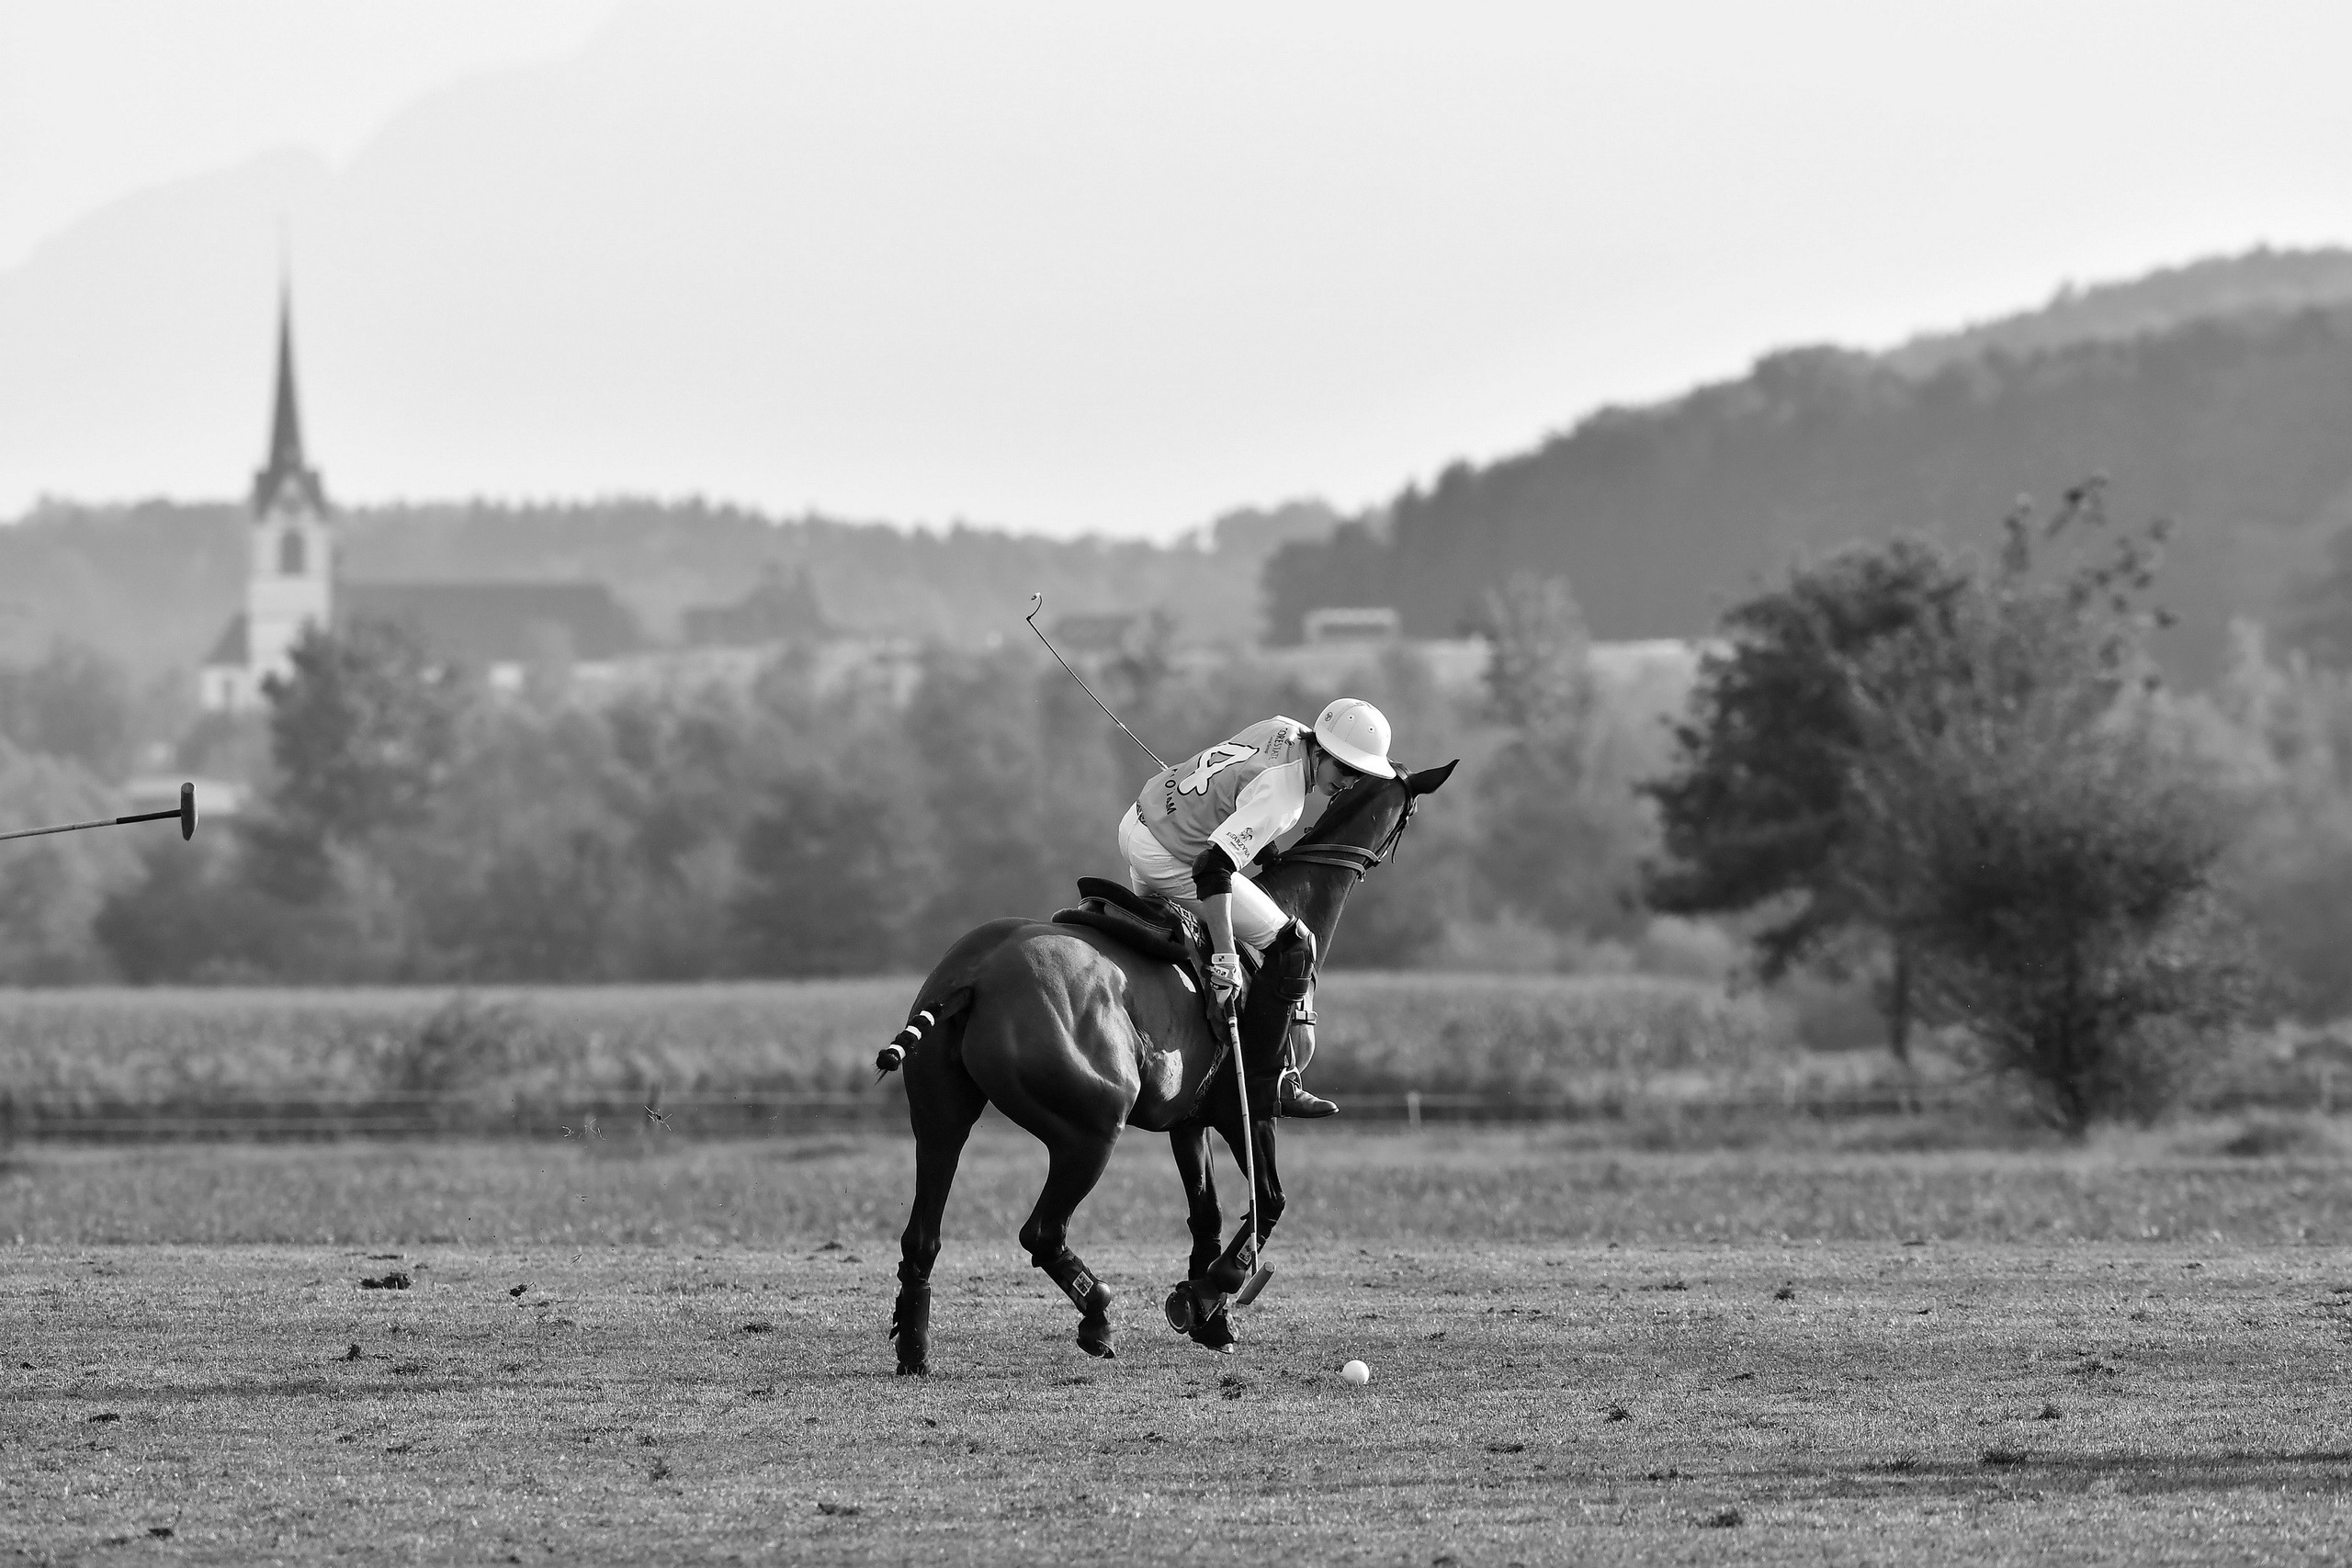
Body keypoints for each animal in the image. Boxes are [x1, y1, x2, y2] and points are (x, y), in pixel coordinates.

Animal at [878, 758, 1456, 1374]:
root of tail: (978, 974)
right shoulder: (1250, 1110)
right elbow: (1270, 1201)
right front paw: (1211, 1290)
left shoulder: (1190, 1119)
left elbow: (1207, 1214)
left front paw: (1211, 1315)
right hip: (1089, 1130)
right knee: (1042, 1233)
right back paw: (1098, 1316)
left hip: (941, 1117)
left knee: (922, 1234)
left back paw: (915, 1349)